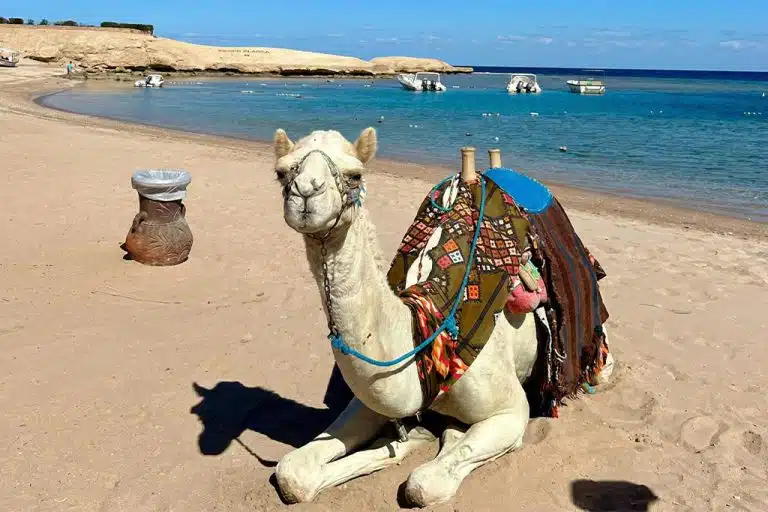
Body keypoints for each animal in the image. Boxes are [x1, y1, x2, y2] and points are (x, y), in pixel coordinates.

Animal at [270, 126, 614, 507]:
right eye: (282, 172)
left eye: (355, 174)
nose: (306, 192)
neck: (423, 328)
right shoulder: (371, 399)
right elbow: (292, 472)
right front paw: (409, 436)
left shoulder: (510, 411)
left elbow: (423, 484)